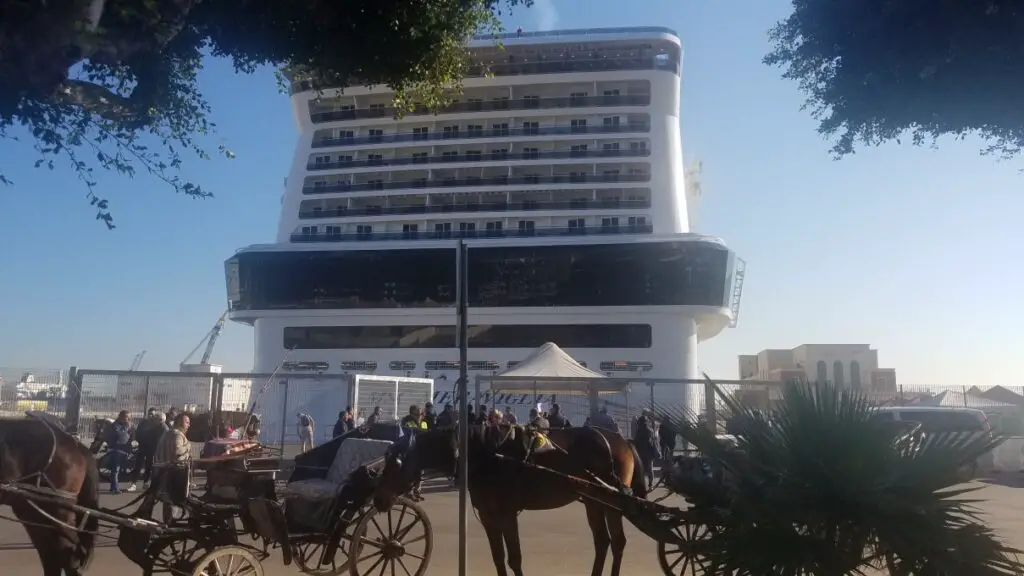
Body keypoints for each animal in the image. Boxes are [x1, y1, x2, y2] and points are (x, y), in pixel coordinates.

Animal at [376, 422, 647, 573]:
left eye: (395, 464)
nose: (379, 500)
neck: (487, 454)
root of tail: (621, 440)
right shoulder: (488, 515)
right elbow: (498, 558)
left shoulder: (507, 513)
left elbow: (514, 558)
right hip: (593, 502)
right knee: (603, 541)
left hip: (610, 501)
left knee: (617, 541)